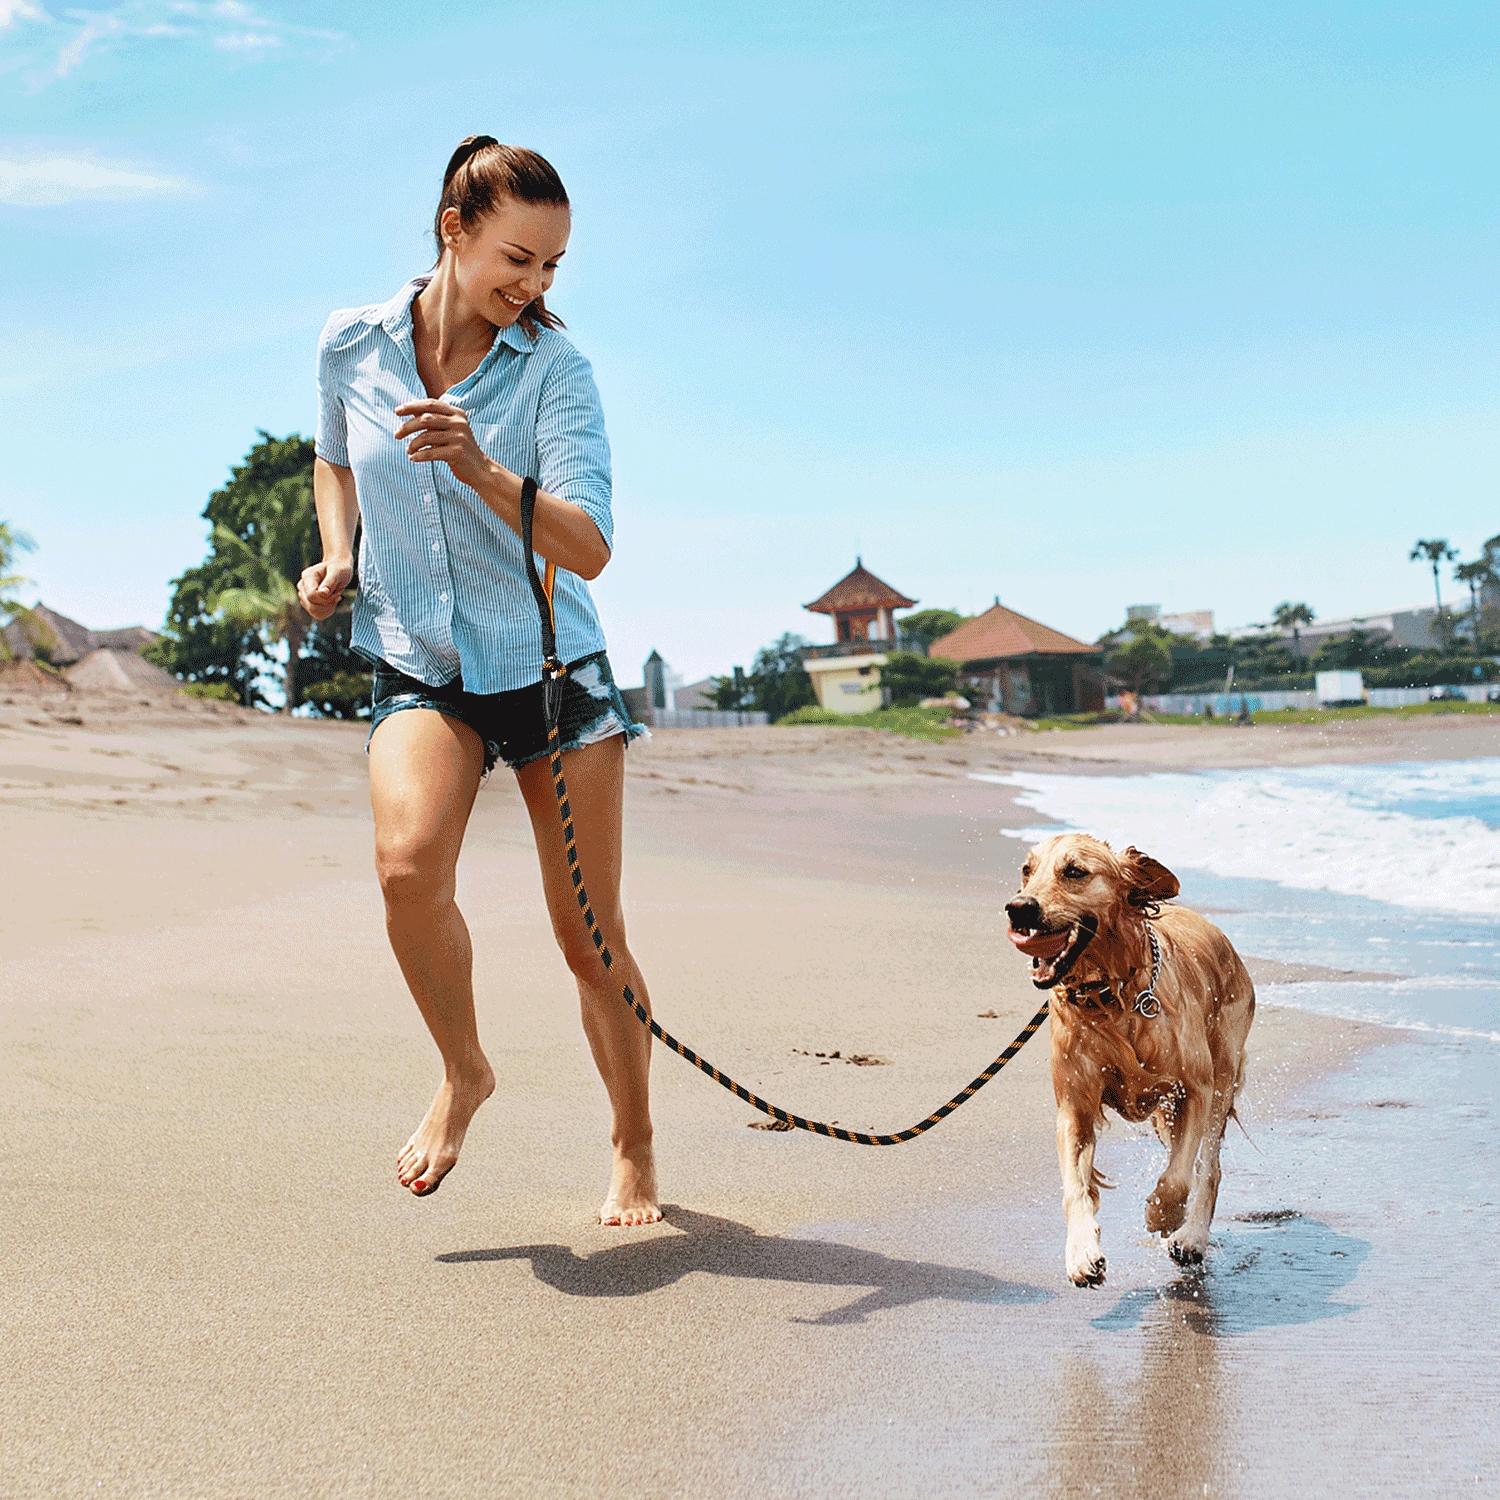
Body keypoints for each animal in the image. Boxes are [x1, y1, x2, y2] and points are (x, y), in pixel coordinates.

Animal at [1008, 840, 1254, 1284]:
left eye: (1075, 871)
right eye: (1026, 870)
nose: (1018, 908)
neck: (1109, 995)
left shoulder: (1195, 1089)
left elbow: (1177, 1178)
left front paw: (1162, 1215)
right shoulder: (1075, 1106)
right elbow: (1075, 1187)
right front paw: (1082, 1254)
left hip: (1224, 1074)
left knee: (1209, 1166)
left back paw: (1191, 1238)